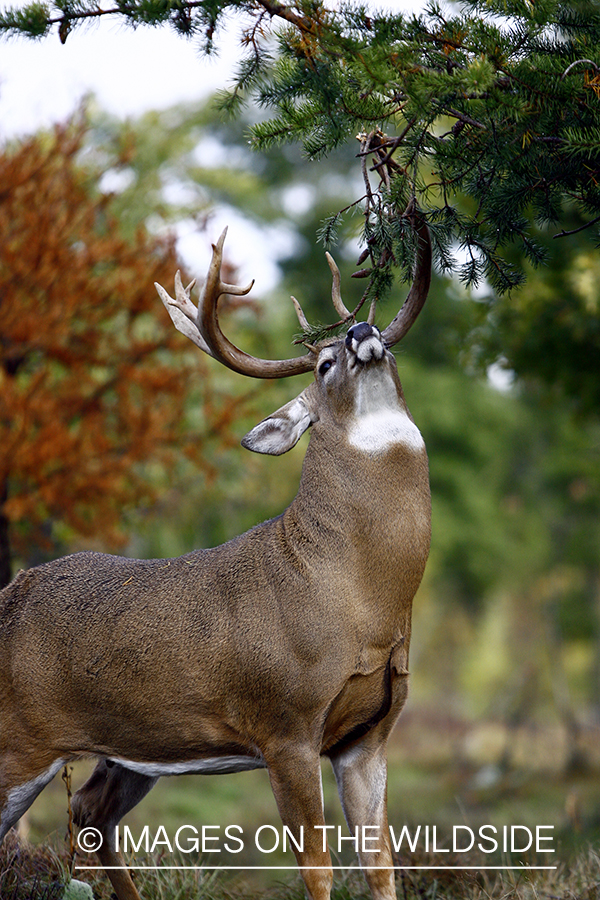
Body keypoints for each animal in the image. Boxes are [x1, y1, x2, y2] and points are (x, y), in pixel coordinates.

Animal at [0, 220, 432, 900]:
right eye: (325, 363)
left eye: (384, 345)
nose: (362, 331)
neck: (357, 593)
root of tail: (9, 592)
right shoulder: (285, 725)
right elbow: (317, 868)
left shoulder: (370, 736)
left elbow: (380, 864)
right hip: (20, 739)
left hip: (137, 744)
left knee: (90, 810)